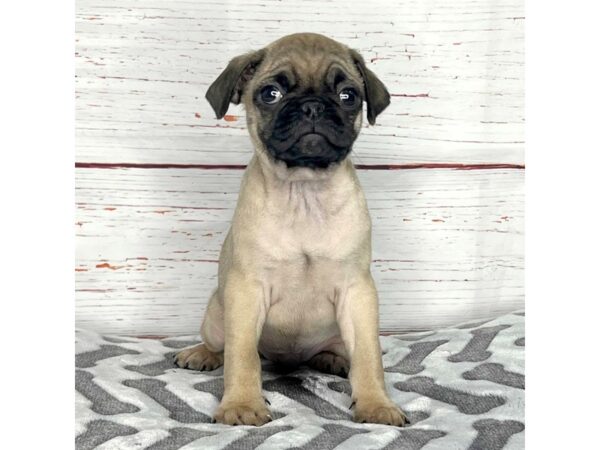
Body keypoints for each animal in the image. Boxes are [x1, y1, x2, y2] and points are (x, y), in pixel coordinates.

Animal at [175, 33, 408, 428]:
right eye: (271, 93)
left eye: (348, 95)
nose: (312, 107)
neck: (304, 192)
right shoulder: (246, 292)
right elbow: (242, 356)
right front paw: (241, 404)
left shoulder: (357, 294)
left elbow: (369, 356)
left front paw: (376, 404)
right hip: (216, 316)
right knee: (222, 346)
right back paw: (201, 353)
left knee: (340, 351)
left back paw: (333, 359)